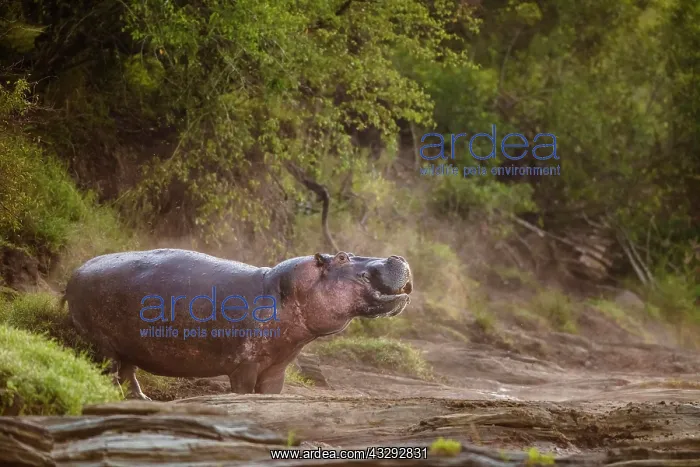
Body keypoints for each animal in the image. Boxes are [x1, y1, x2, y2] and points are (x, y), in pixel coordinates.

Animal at [63, 249, 413, 399]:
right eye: (341, 257)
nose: (397, 256)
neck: (282, 288)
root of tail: (75, 272)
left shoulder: (277, 368)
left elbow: (271, 395)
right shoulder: (245, 364)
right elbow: (243, 393)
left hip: (128, 347)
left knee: (128, 372)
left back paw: (142, 400)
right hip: (103, 344)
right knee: (112, 372)